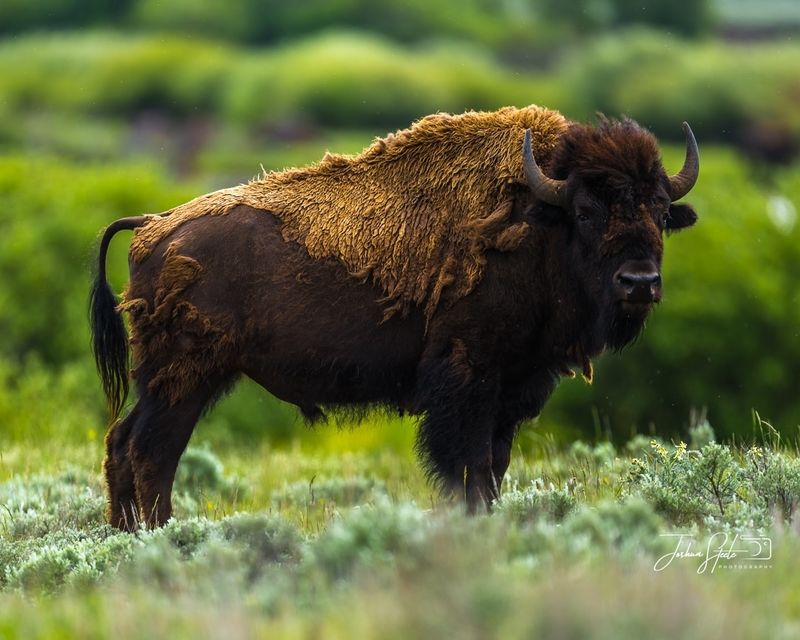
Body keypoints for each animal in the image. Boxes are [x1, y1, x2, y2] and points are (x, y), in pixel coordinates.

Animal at [90, 106, 696, 528]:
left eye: (661, 211)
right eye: (587, 211)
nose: (639, 283)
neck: (541, 220)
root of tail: (155, 224)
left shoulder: (516, 386)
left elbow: (494, 465)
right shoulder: (468, 379)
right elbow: (469, 464)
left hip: (175, 380)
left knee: (123, 443)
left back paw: (127, 535)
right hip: (184, 378)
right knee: (152, 450)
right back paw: (163, 536)